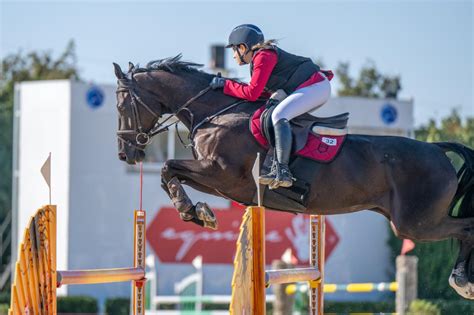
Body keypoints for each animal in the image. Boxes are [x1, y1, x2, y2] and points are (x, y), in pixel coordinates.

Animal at [114, 55, 474, 300]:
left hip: (415, 223)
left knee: (466, 228)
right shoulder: (219, 180)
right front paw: (198, 212)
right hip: (414, 222)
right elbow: (170, 172)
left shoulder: (223, 175)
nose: (125, 154)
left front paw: (194, 212)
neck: (215, 114)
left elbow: (168, 166)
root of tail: (437, 150)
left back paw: (461, 281)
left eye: (122, 105)